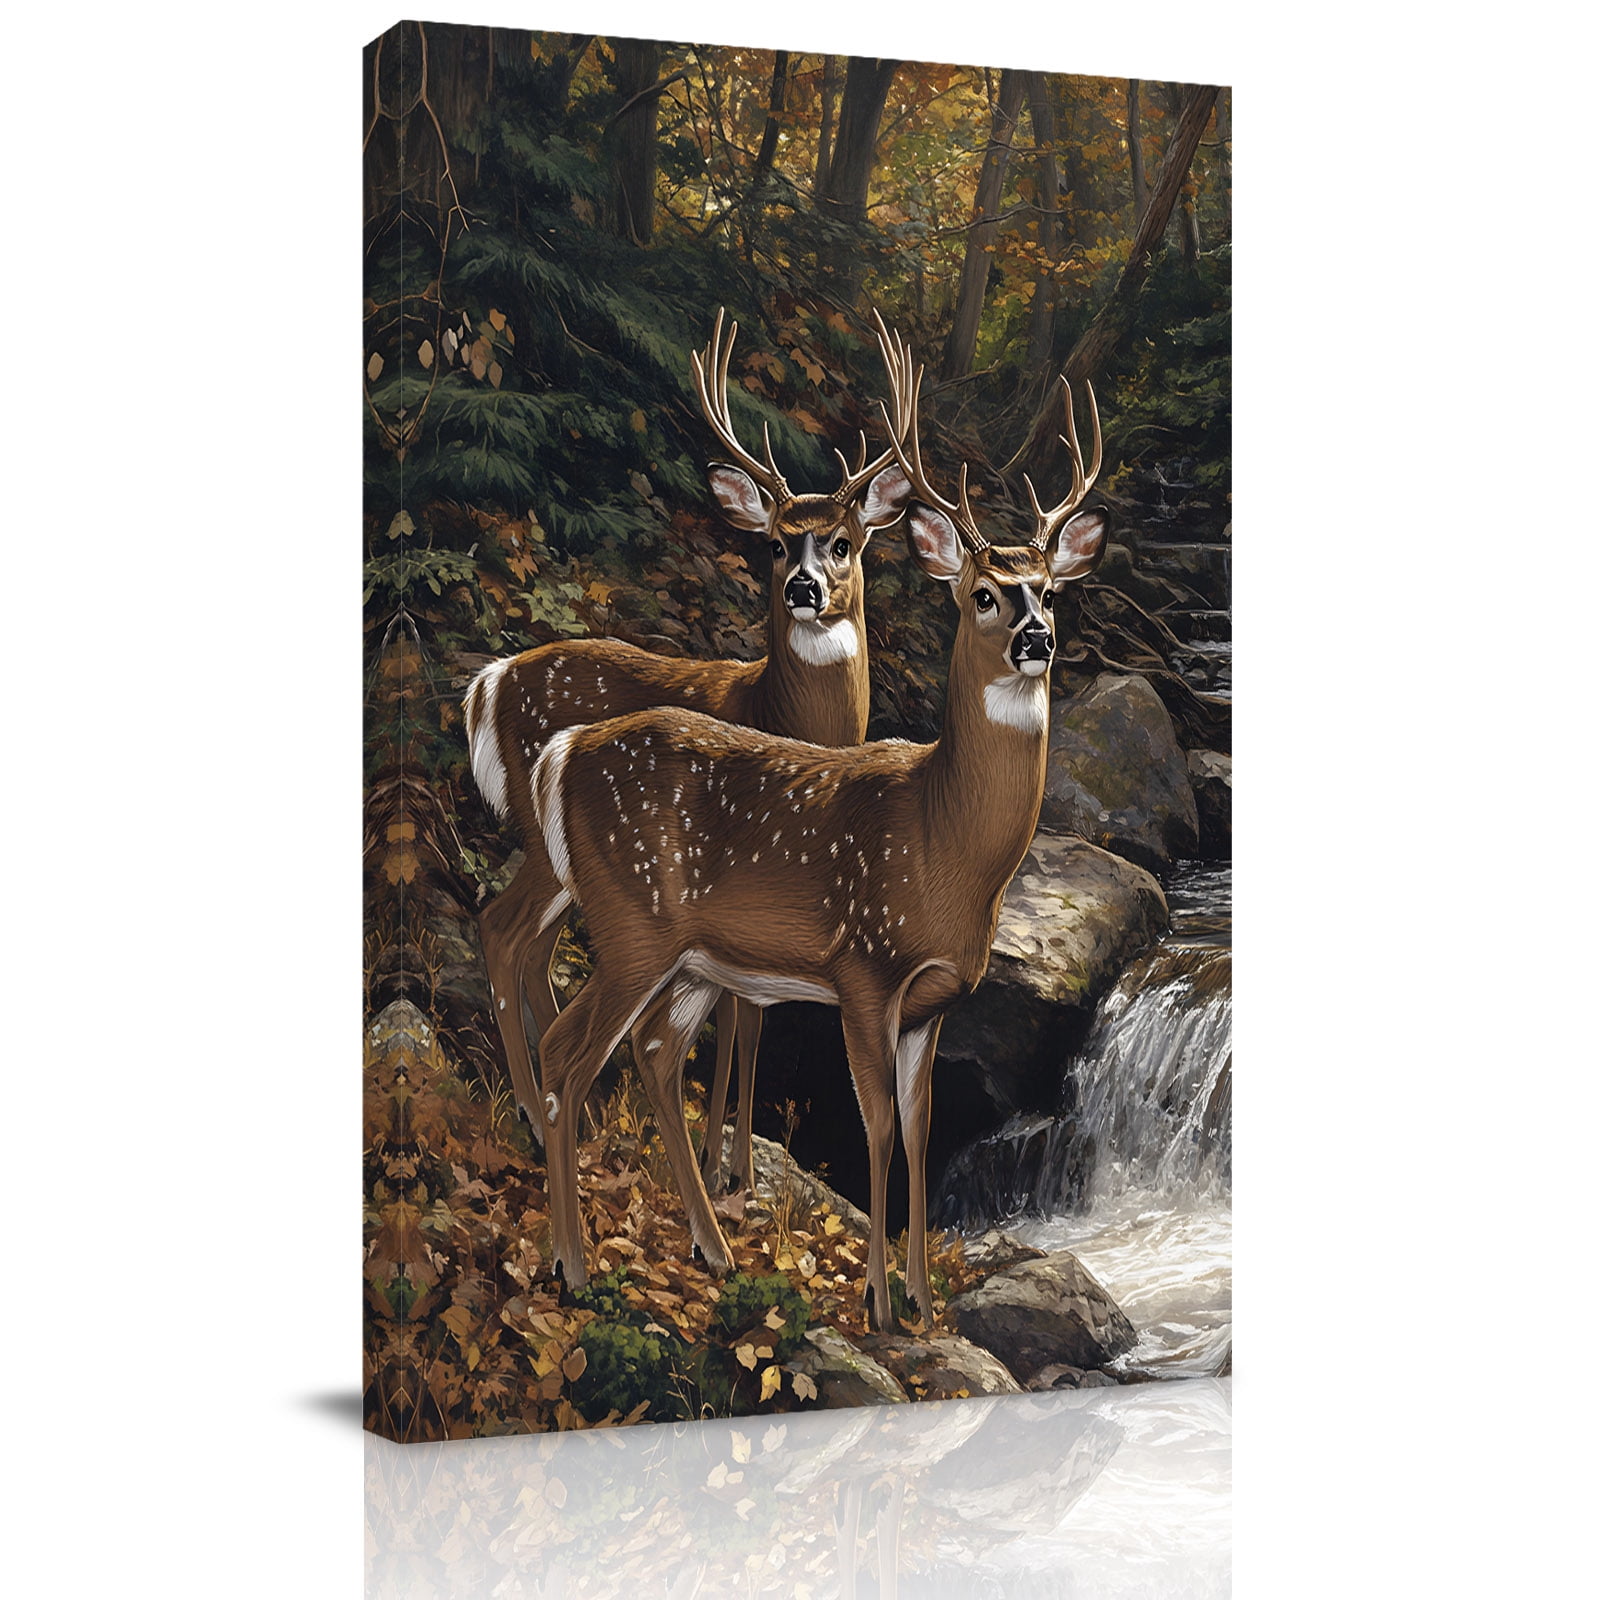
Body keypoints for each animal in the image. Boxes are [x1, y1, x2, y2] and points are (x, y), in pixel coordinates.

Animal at [464, 308, 915, 1195]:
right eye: (775, 543)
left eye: (844, 541)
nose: (804, 588)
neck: (779, 712)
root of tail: (491, 681)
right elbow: (741, 1017)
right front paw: (725, 1170)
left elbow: (746, 1015)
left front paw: (727, 1165)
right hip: (551, 842)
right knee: (502, 933)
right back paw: (540, 1115)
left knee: (535, 951)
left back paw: (583, 1118)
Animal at [527, 366, 1107, 1330]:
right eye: (983, 593)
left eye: (1051, 591)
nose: (1037, 640)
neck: (943, 844)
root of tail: (561, 755)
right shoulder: (863, 967)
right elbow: (874, 1126)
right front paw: (876, 1303)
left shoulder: (934, 1000)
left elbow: (920, 1128)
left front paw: (921, 1301)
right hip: (631, 920)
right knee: (573, 1055)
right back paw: (574, 1267)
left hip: (688, 955)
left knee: (643, 1052)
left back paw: (712, 1250)